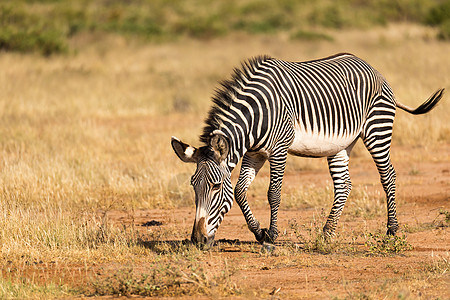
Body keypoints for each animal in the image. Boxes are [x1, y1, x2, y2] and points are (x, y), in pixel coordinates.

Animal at [171, 54, 442, 246]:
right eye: (193, 186)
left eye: (215, 187)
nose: (197, 241)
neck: (255, 117)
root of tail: (373, 68)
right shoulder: (254, 153)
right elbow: (239, 191)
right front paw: (258, 231)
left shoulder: (279, 149)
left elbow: (273, 193)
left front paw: (271, 235)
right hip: (341, 144)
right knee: (344, 185)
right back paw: (327, 232)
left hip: (378, 129)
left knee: (388, 176)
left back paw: (392, 229)